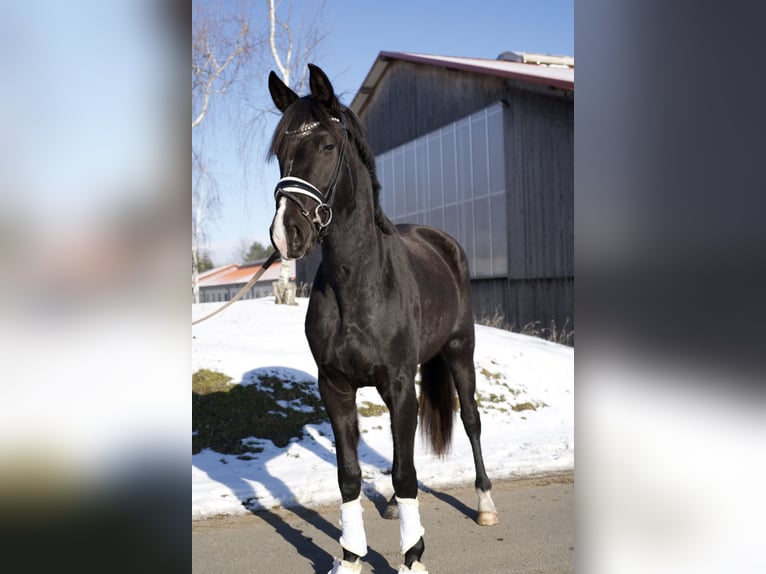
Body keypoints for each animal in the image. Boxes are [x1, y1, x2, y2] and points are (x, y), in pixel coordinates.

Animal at [270, 64, 498, 574]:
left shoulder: (397, 381)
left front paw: (412, 556)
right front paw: (350, 556)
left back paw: (485, 505)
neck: (359, 283)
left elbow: (407, 472)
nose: (286, 233)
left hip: (461, 352)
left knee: (470, 420)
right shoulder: (335, 387)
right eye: (280, 152)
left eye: (327, 146)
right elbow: (350, 475)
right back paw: (393, 506)